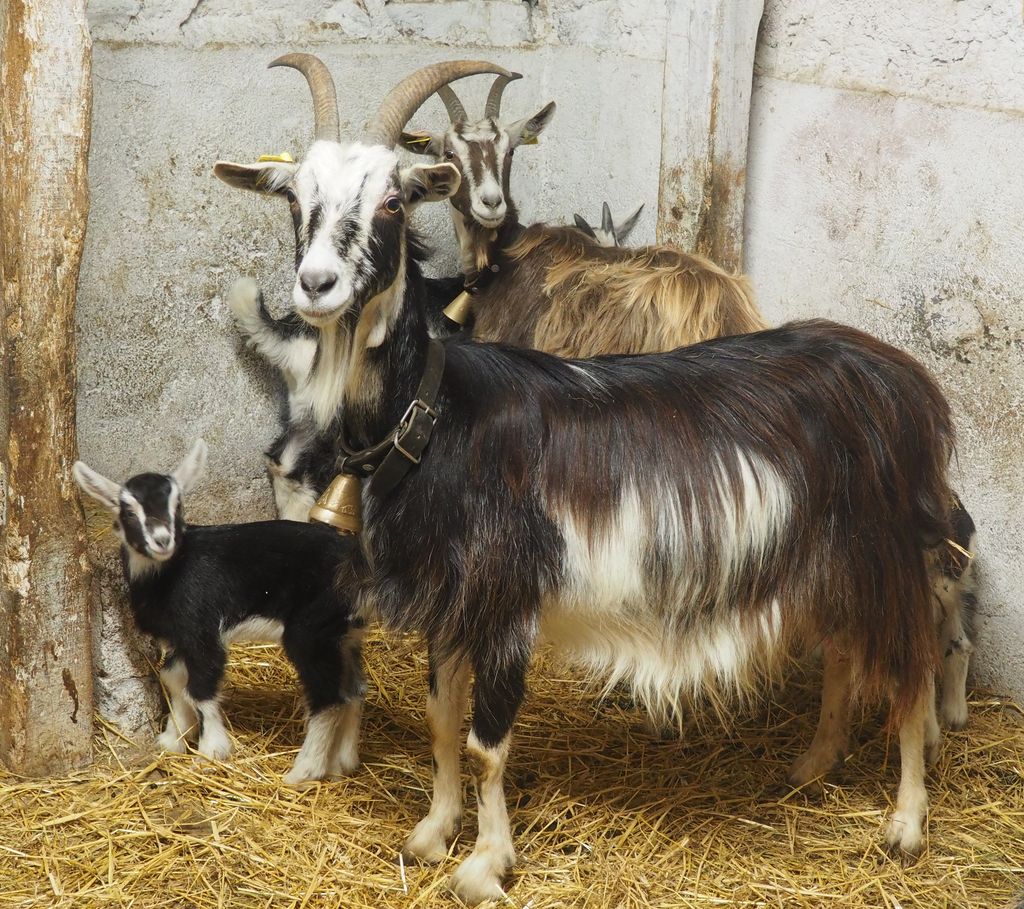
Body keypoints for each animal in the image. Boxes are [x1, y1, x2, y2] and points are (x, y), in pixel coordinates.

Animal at [73, 440, 364, 787]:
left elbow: (200, 687)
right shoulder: (179, 638)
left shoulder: (201, 630)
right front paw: (173, 739)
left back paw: (304, 770)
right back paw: (343, 763)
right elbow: (174, 679)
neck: (170, 572)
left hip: (311, 632)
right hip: (344, 635)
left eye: (177, 505)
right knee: (354, 691)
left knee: (329, 698)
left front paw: (213, 749)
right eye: (129, 511)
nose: (162, 540)